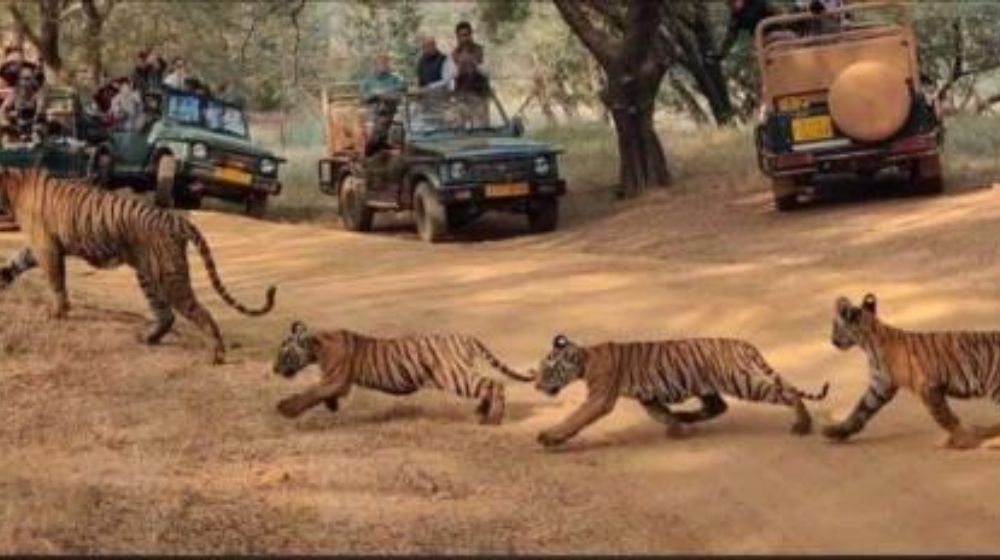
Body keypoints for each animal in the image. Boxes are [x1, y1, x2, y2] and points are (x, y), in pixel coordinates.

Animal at [0, 167, 276, 364]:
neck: (11, 187)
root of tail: (176, 219)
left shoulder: (46, 247)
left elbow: (56, 281)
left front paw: (58, 312)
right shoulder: (36, 247)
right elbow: (14, 264)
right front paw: (2, 283)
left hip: (169, 278)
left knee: (200, 312)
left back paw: (217, 354)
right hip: (150, 275)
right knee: (166, 314)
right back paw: (148, 338)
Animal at [271, 321, 534, 424]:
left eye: (283, 354)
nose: (274, 369)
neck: (315, 348)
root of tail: (465, 338)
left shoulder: (334, 379)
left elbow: (309, 394)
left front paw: (285, 409)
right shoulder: (338, 382)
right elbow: (319, 394)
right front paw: (332, 405)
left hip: (452, 377)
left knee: (494, 384)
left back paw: (492, 419)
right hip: (458, 374)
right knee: (488, 385)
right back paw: (482, 411)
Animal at [531, 334, 830, 447]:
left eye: (547, 371)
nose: (535, 385)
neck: (585, 360)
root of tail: (742, 343)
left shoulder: (599, 398)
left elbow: (575, 418)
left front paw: (550, 437)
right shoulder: (648, 398)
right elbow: (661, 414)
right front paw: (677, 428)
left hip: (741, 381)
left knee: (788, 394)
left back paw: (803, 425)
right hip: (707, 385)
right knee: (718, 406)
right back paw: (686, 418)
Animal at [826, 293, 1000, 450]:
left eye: (835, 326)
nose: (832, 340)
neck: (868, 344)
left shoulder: (928, 388)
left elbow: (945, 418)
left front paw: (962, 440)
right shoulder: (880, 387)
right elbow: (860, 410)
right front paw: (835, 431)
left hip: (995, 385)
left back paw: (983, 434)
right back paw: (983, 432)